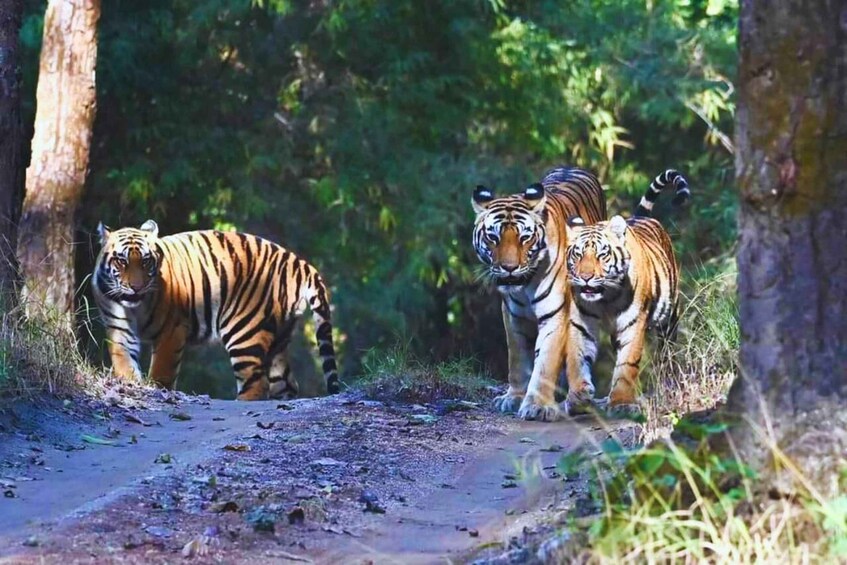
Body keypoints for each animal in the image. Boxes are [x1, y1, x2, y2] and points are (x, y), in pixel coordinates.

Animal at [93, 218, 342, 398]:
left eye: (146, 261)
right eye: (122, 261)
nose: (136, 287)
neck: (134, 307)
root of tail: (297, 261)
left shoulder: (171, 330)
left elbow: (162, 371)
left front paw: (156, 391)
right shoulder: (119, 327)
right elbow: (123, 359)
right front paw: (130, 384)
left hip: (244, 331)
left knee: (257, 382)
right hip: (279, 338)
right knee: (285, 382)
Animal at [470, 165, 608, 420]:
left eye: (525, 237)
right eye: (493, 237)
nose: (509, 267)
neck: (524, 286)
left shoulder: (556, 315)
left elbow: (545, 362)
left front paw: (537, 405)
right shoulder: (512, 315)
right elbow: (517, 359)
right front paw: (513, 397)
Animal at [564, 167, 688, 414]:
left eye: (601, 255)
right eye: (578, 254)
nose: (586, 278)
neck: (605, 299)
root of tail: (640, 217)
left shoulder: (633, 323)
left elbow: (627, 363)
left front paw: (621, 401)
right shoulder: (581, 322)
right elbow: (578, 358)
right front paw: (578, 397)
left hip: (669, 317)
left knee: (667, 351)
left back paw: (667, 383)